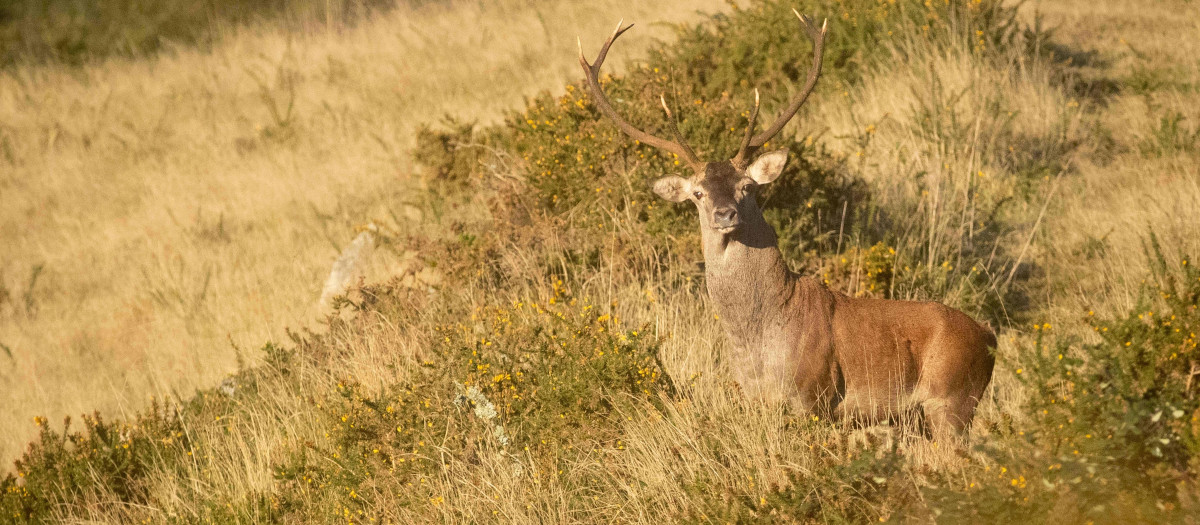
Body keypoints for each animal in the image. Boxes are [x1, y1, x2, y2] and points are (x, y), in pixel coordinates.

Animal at [578, 12, 997, 439]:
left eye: (746, 186)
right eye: (697, 193)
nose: (725, 214)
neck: (759, 346)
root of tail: (988, 336)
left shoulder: (816, 394)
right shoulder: (756, 400)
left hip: (952, 399)